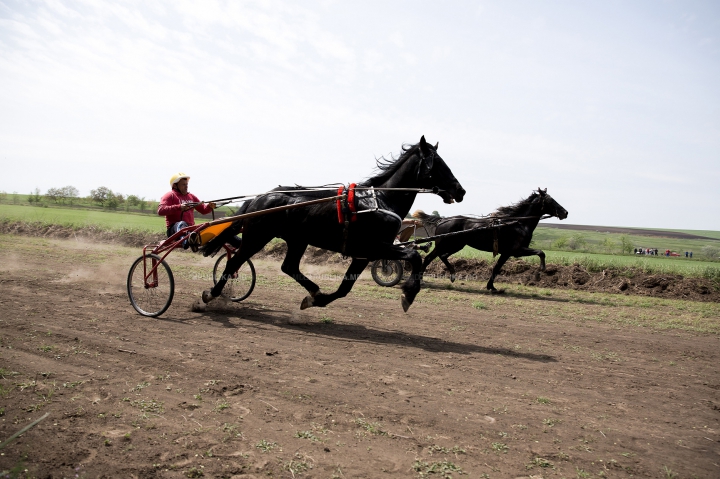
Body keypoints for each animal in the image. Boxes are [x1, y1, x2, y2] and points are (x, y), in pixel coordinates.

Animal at [201, 137, 466, 314]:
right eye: (438, 163)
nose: (460, 190)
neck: (380, 200)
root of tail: (260, 198)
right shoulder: (374, 247)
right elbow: (414, 256)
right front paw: (408, 293)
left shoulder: (362, 254)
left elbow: (345, 288)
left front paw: (316, 300)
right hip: (257, 236)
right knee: (234, 262)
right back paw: (209, 294)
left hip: (297, 239)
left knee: (289, 267)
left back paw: (315, 291)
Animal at [416, 189, 568, 290]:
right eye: (550, 201)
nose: (565, 212)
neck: (518, 223)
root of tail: (442, 220)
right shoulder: (516, 250)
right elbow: (541, 252)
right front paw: (541, 270)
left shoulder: (506, 253)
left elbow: (496, 268)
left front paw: (491, 286)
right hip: (448, 244)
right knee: (434, 257)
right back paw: (436, 277)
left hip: (454, 245)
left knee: (437, 257)